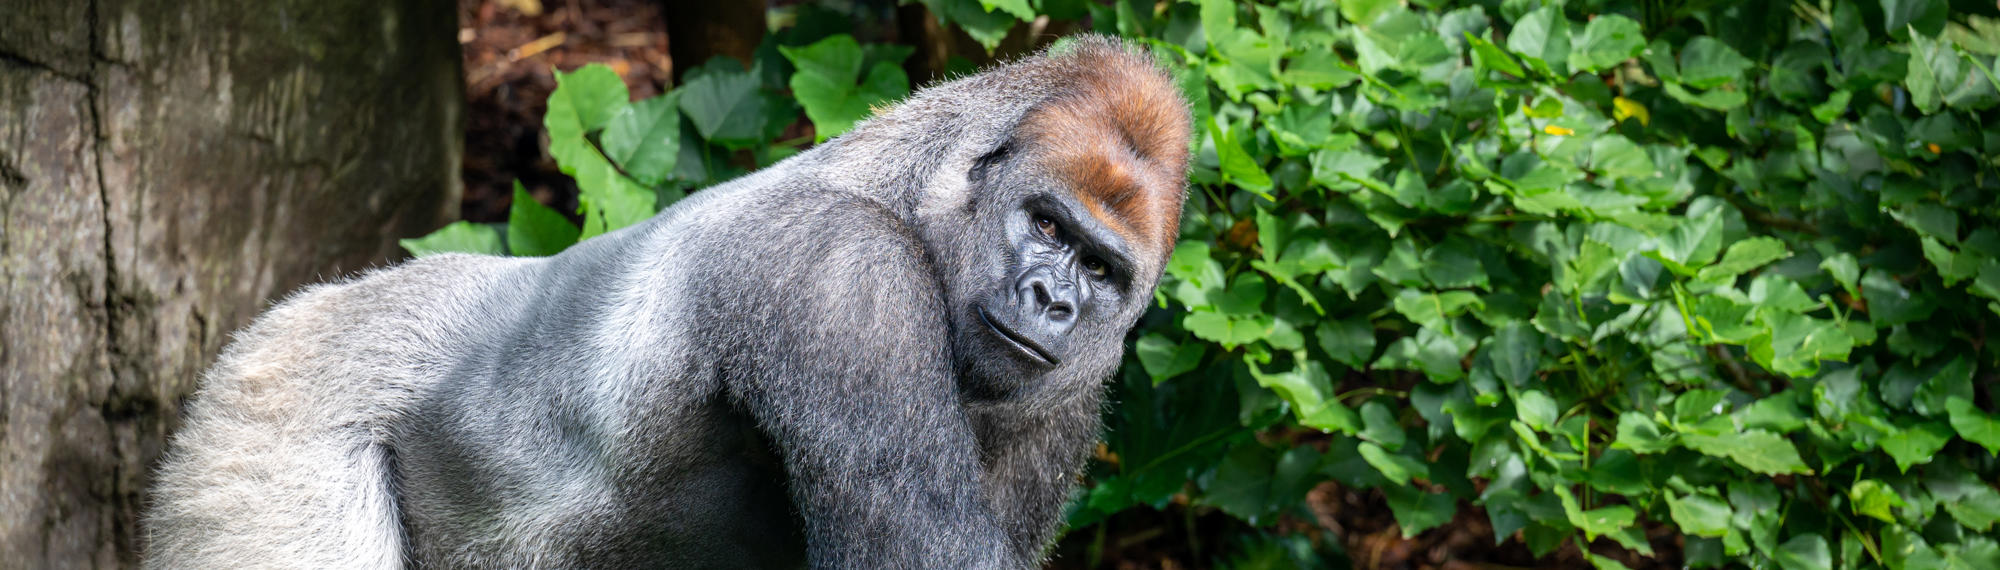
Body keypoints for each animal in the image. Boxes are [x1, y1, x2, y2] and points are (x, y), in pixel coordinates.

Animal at [142, 35, 1190, 569]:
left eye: (1102, 271)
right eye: (1045, 224)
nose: (1051, 298)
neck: (917, 193)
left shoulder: (1062, 404)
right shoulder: (838, 273)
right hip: (262, 425)